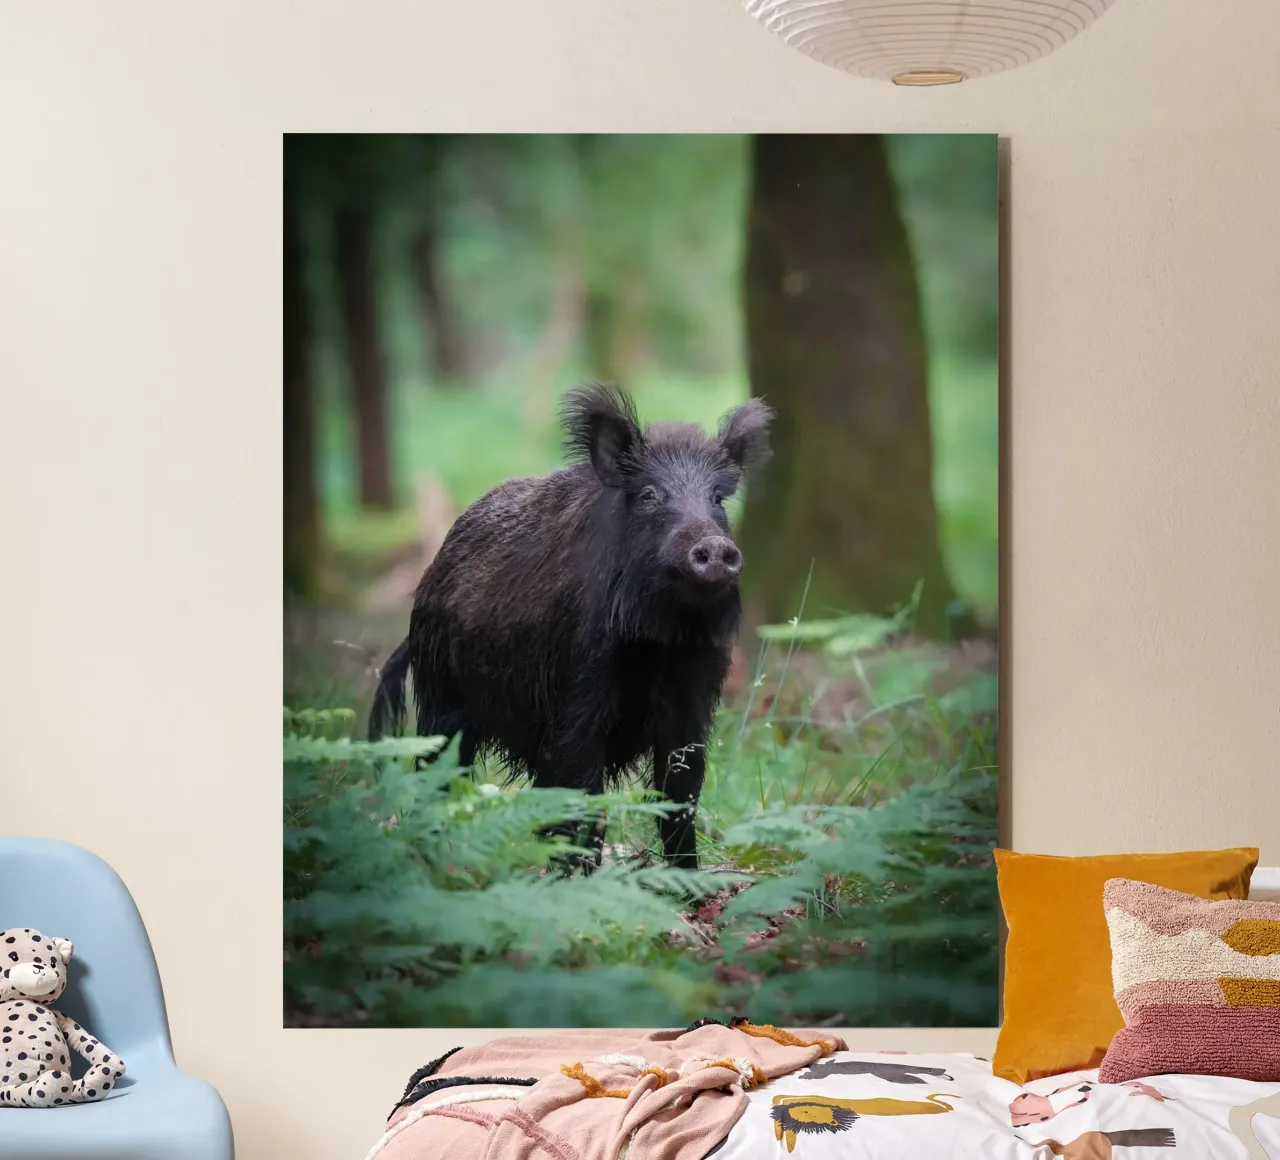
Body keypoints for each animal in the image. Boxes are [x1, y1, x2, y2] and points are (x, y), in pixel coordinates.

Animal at [369, 383, 773, 869]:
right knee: (437, 776)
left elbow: (680, 800)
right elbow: (585, 805)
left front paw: (691, 883)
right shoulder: (575, 699)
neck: (656, 644)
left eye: (718, 498)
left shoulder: (693, 702)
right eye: (649, 494)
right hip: (441, 699)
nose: (714, 547)